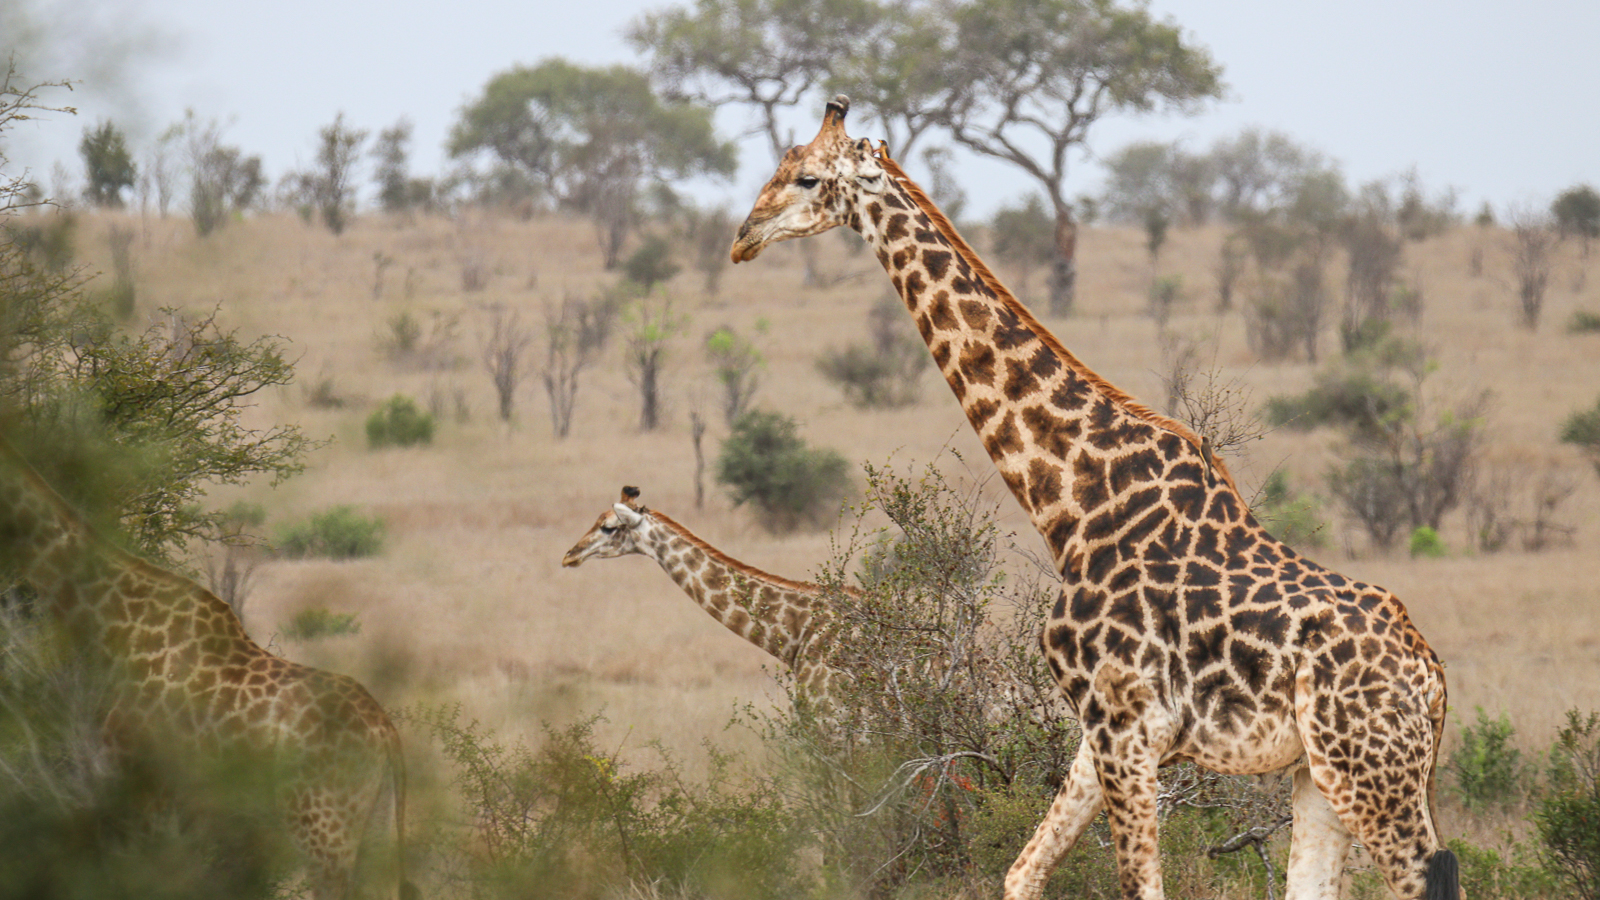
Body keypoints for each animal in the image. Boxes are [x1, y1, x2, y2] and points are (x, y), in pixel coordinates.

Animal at [0, 432, 416, 900]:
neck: (117, 623)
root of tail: (386, 734)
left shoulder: (143, 793)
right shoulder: (194, 811)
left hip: (323, 830)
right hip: (375, 824)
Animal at [729, 96, 1459, 900]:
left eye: (807, 176)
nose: (744, 236)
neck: (1072, 504)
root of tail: (1431, 678)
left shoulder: (1126, 726)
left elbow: (1137, 886)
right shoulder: (1096, 735)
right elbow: (1020, 874)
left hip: (1370, 770)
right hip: (1324, 774)